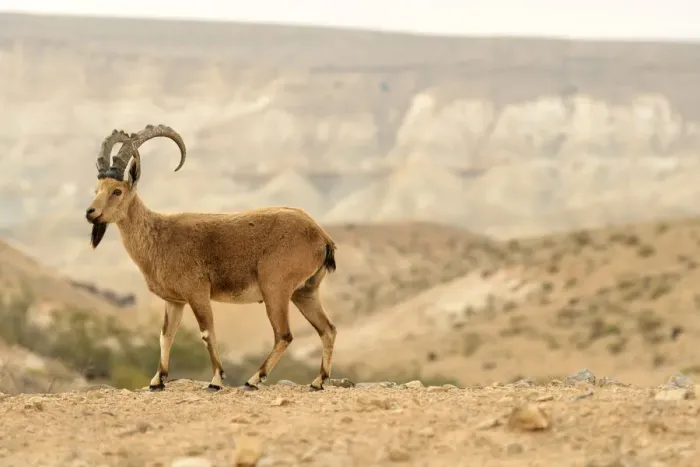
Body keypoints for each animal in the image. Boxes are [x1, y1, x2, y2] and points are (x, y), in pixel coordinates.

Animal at [85, 124, 338, 392]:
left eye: (117, 190)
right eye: (97, 190)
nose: (90, 213)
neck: (159, 237)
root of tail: (321, 235)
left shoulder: (198, 293)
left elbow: (207, 332)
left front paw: (216, 380)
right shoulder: (174, 301)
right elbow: (166, 335)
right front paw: (157, 381)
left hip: (275, 288)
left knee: (284, 334)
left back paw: (253, 379)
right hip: (305, 292)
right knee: (327, 330)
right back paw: (318, 381)